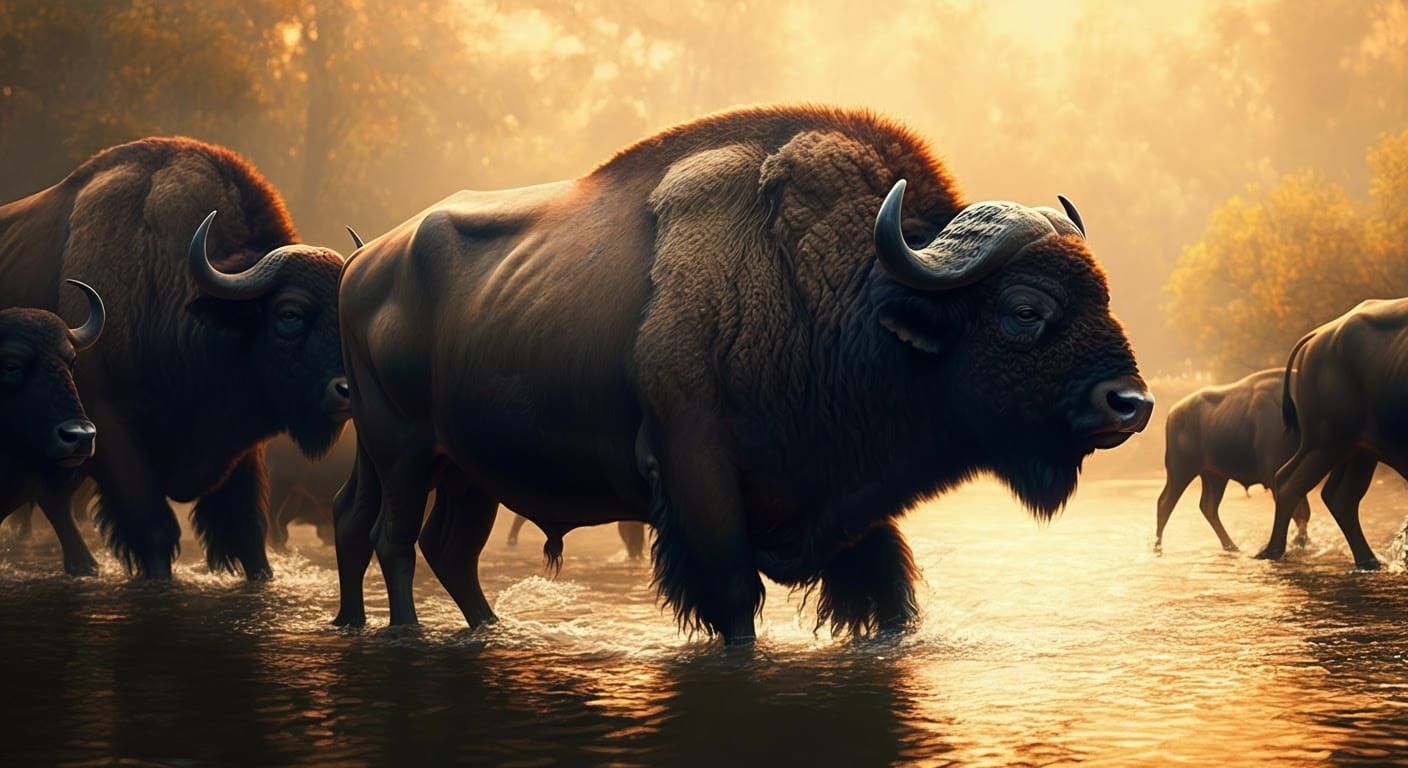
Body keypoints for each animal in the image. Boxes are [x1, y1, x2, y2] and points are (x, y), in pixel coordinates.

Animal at [333, 107, 1152, 642]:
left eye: (1104, 294)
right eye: (1024, 309)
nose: (1132, 403)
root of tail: (363, 264)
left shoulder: (851, 497)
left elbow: (887, 599)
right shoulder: (698, 479)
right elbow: (734, 605)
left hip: (463, 471)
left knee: (422, 542)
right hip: (403, 451)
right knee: (393, 540)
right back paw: (402, 636)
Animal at [1155, 369, 1315, 553]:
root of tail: (1172, 412)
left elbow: (1303, 512)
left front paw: (1302, 542)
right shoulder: (1276, 476)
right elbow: (1297, 511)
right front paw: (1298, 542)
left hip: (1215, 476)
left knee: (1208, 506)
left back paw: (1231, 546)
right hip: (1180, 471)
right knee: (1165, 503)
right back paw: (1158, 546)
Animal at [1256, 299, 1408, 569]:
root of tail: (1318, 336)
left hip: (1357, 450)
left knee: (1340, 497)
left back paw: (1369, 560)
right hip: (1327, 443)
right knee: (1290, 483)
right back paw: (1273, 551)